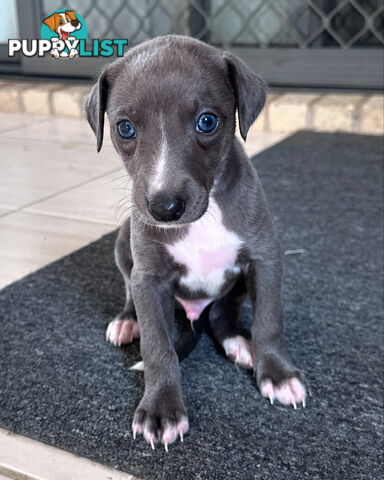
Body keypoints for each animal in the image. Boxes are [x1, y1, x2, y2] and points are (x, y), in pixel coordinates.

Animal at [85, 35, 308, 452]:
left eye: (207, 121)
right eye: (125, 128)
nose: (164, 207)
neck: (203, 219)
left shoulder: (265, 259)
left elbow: (269, 320)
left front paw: (278, 374)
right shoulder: (149, 278)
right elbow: (158, 347)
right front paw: (160, 410)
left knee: (222, 314)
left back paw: (239, 344)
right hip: (124, 244)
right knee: (131, 294)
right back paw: (126, 322)